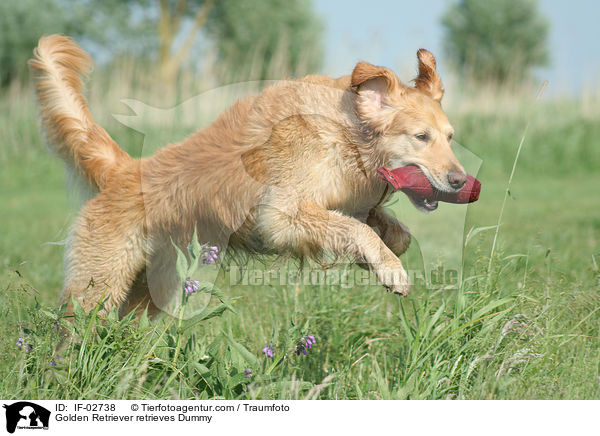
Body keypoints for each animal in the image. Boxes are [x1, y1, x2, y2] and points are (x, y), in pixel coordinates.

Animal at [30, 35, 466, 316]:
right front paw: (391, 269)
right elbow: (356, 230)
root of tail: (123, 169)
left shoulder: (347, 200)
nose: (460, 181)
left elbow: (382, 230)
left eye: (449, 137)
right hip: (97, 286)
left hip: (148, 290)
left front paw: (379, 256)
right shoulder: (279, 215)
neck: (347, 134)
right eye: (421, 137)